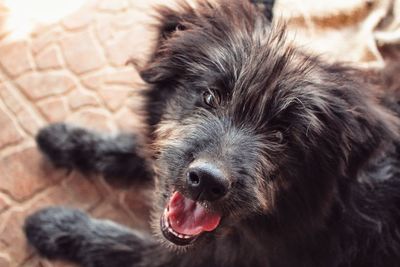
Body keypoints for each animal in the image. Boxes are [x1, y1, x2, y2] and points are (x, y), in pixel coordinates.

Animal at [22, 0, 400, 267]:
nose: (207, 180)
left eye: (282, 135)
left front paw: (56, 225)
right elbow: (139, 147)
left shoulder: (206, 257)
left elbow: (124, 246)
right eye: (209, 96)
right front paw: (66, 138)